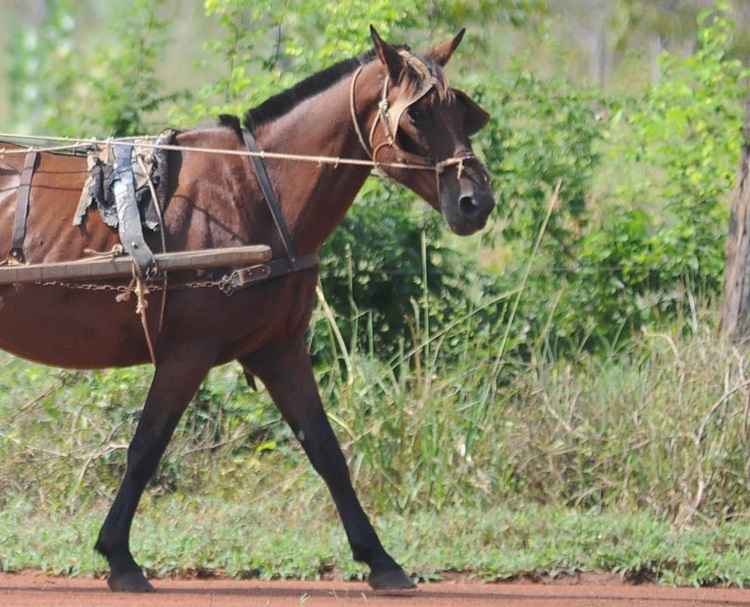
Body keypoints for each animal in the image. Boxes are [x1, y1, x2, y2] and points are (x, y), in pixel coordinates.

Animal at [0, 27, 496, 592]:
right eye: (416, 117)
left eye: (461, 112)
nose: (476, 202)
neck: (258, 189)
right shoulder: (187, 353)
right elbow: (146, 449)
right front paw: (119, 557)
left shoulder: (279, 348)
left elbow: (325, 448)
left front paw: (380, 559)